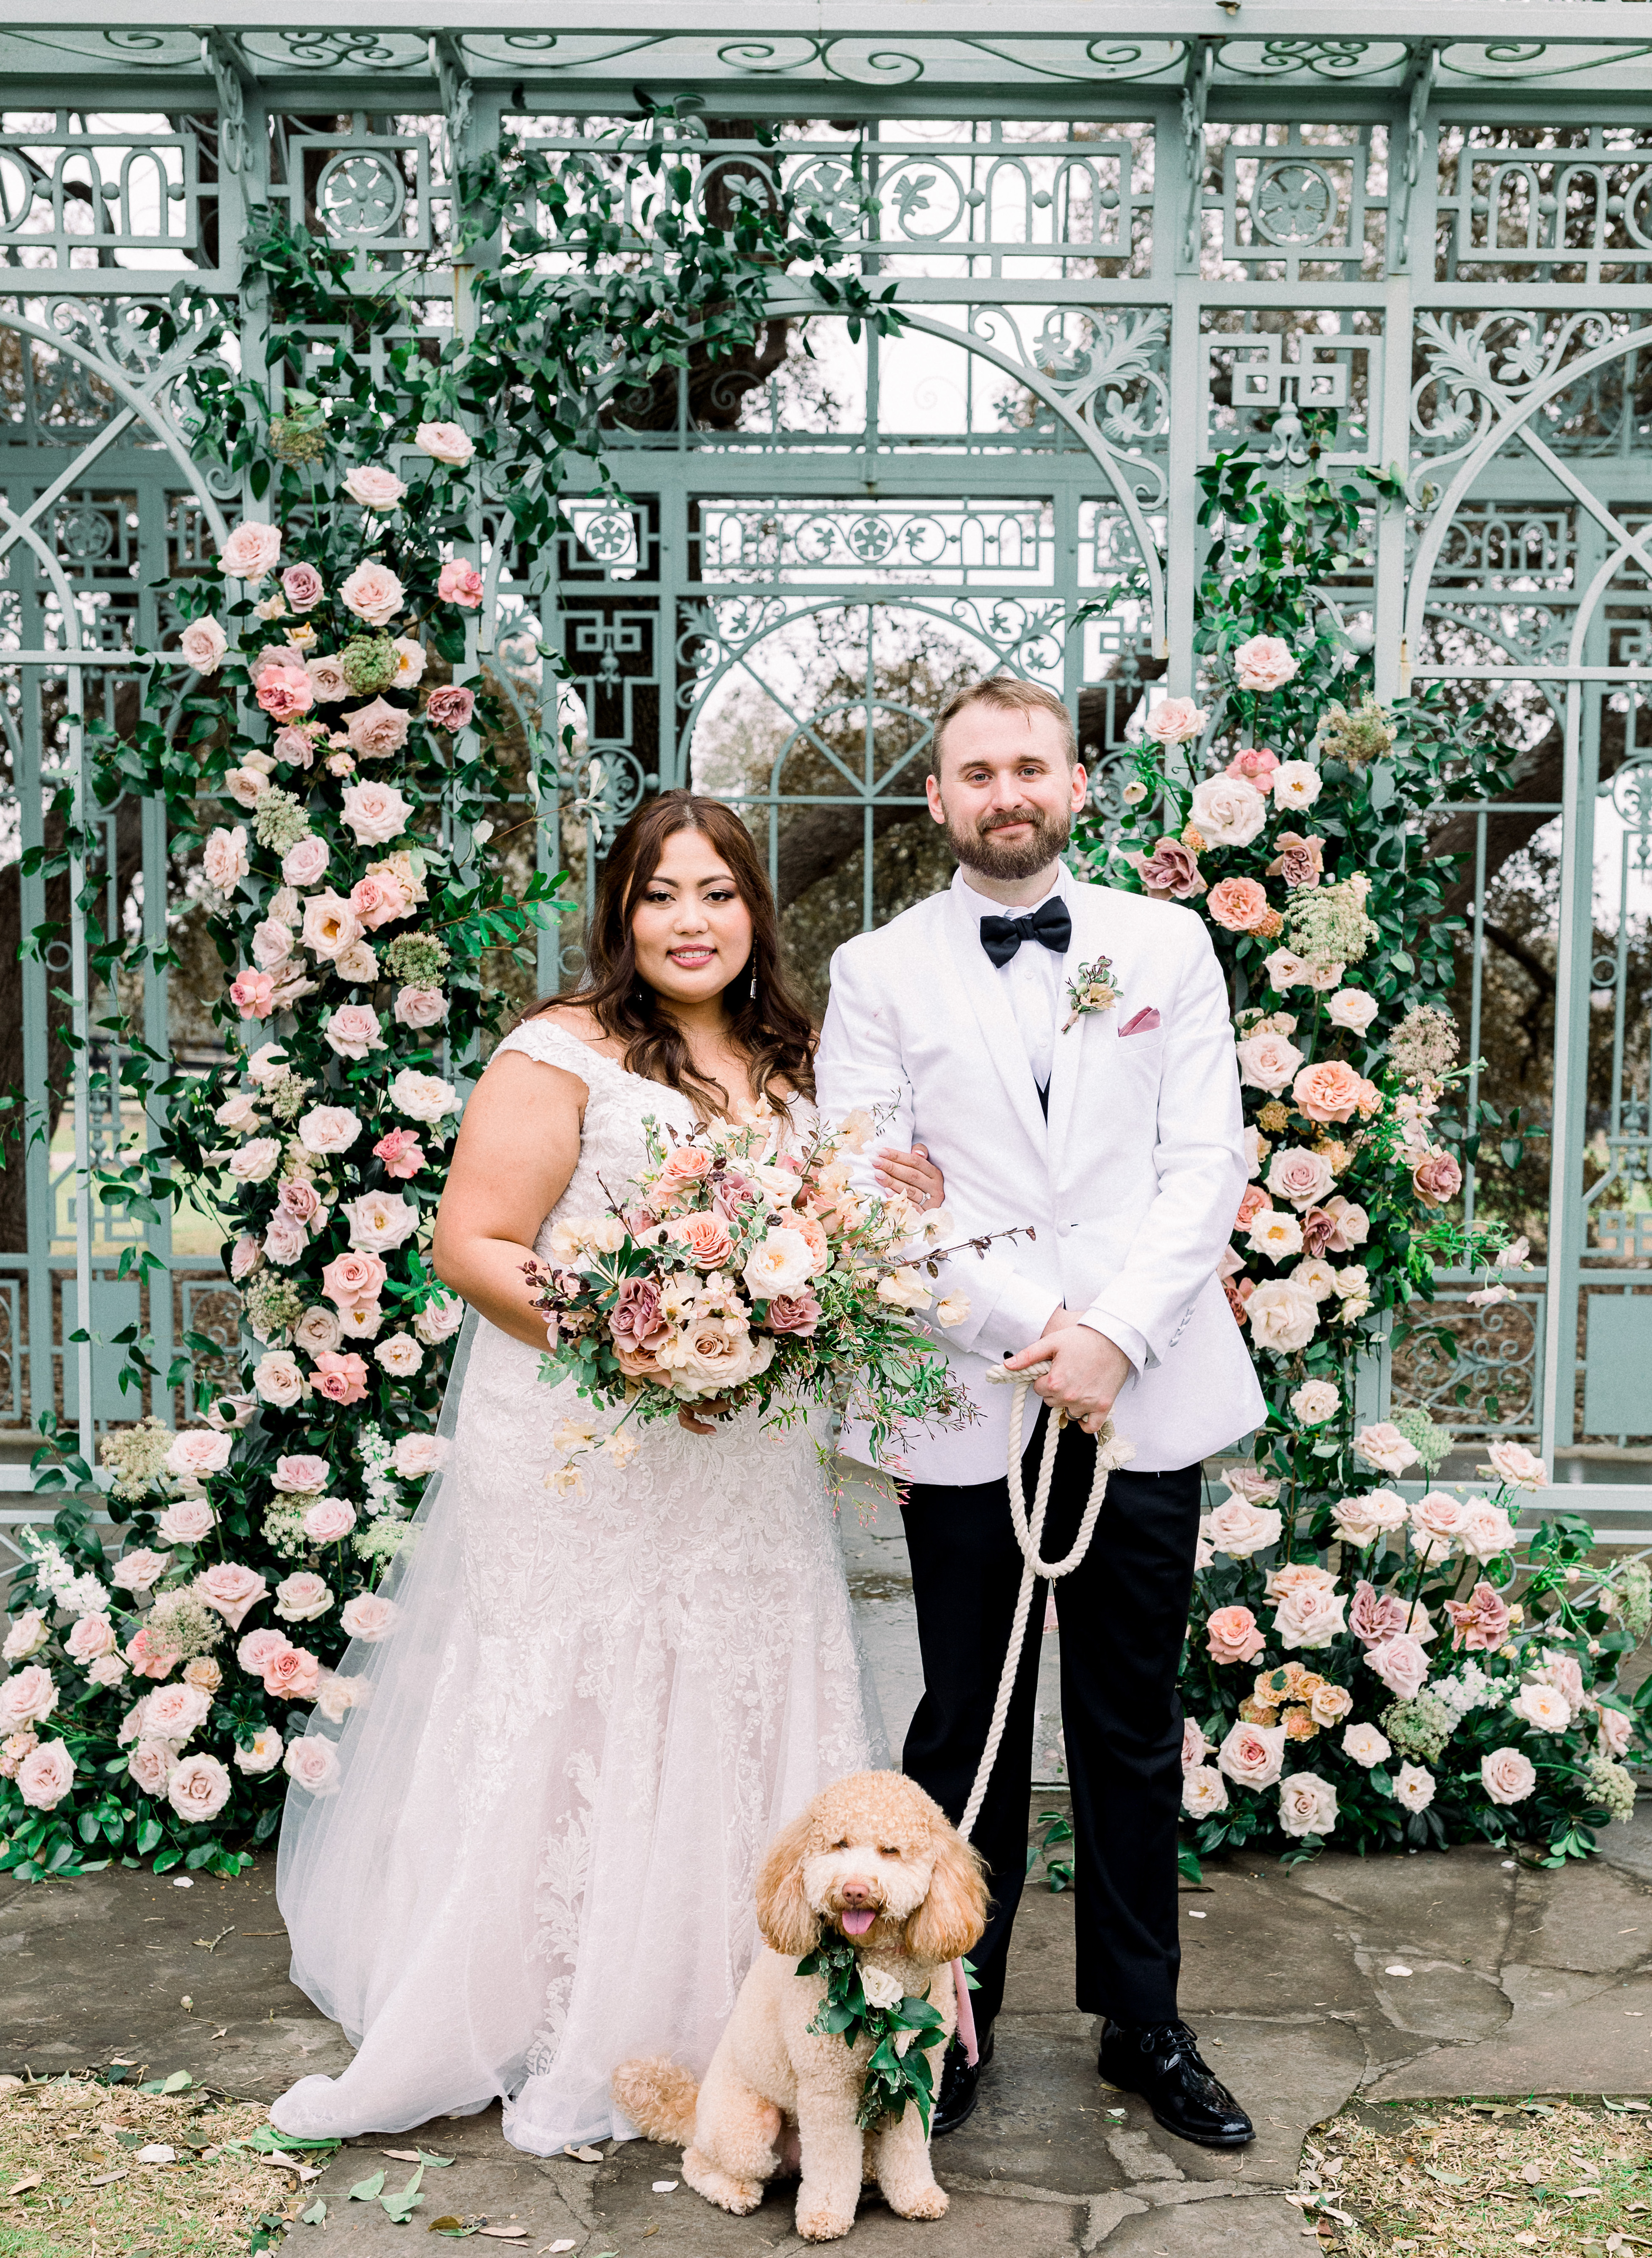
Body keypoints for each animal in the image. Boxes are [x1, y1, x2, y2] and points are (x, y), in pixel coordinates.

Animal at [613, 1779, 988, 2240]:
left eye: (891, 1850)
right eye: (839, 1844)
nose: (854, 1890)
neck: (878, 1964)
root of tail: (695, 2114)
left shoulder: (919, 2073)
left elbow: (909, 2145)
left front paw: (915, 2195)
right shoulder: (827, 2084)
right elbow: (831, 2162)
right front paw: (825, 2216)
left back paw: (869, 2169)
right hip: (748, 2127)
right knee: (699, 2163)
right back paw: (735, 2191)